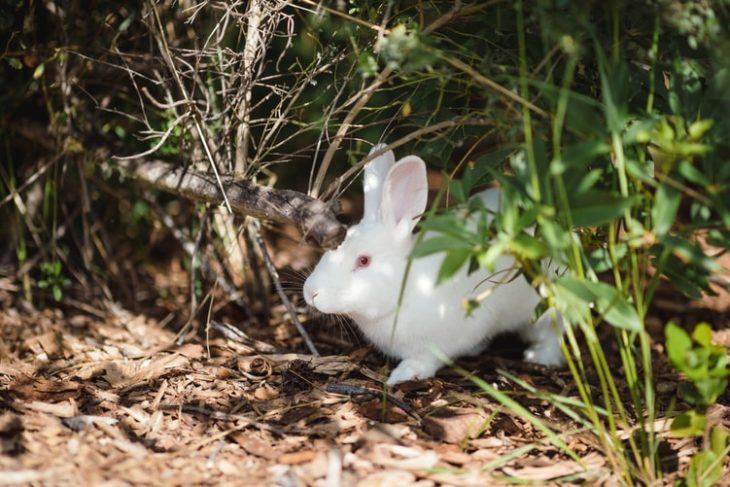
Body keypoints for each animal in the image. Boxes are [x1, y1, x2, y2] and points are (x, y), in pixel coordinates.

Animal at [303, 144, 565, 385]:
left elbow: (429, 359)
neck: (408, 288)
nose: (311, 293)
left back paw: (539, 357)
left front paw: (404, 374)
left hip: (543, 307)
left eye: (364, 260)